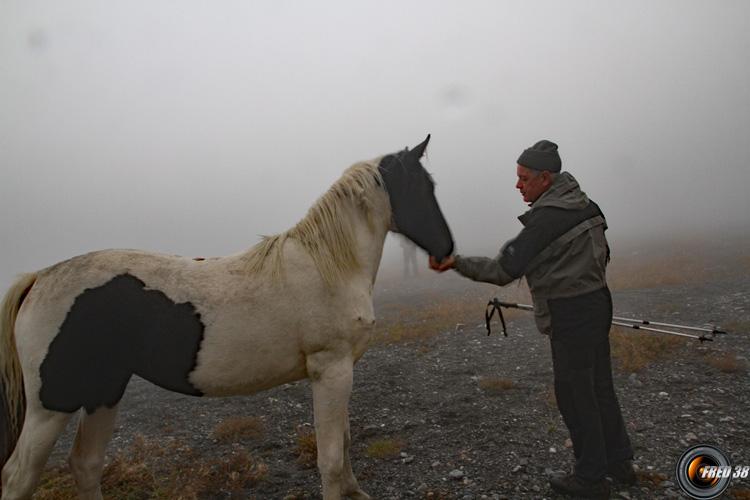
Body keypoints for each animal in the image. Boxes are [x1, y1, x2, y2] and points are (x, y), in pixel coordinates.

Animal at [0, 135, 452, 498]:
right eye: (422, 187)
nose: (446, 249)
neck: (329, 265)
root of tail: (39, 278)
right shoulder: (332, 370)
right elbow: (330, 460)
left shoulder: (341, 372)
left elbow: (343, 447)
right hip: (51, 406)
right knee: (18, 477)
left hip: (103, 392)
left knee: (86, 465)